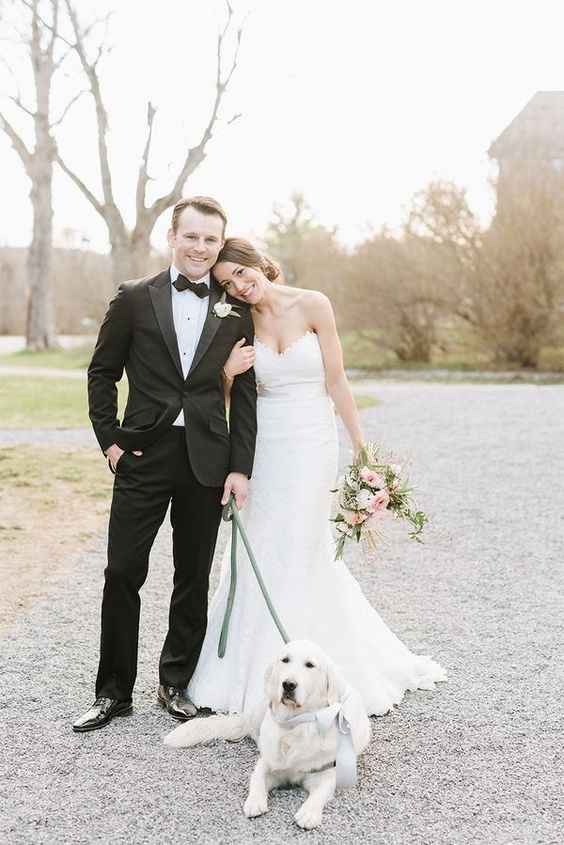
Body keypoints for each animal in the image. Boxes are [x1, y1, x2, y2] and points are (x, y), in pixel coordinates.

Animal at [164, 644, 370, 828]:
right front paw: (255, 801)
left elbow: (320, 793)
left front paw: (308, 814)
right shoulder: (268, 761)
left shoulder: (326, 771)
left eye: (310, 665)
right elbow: (257, 777)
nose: (288, 684)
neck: (295, 722)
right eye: (285, 660)